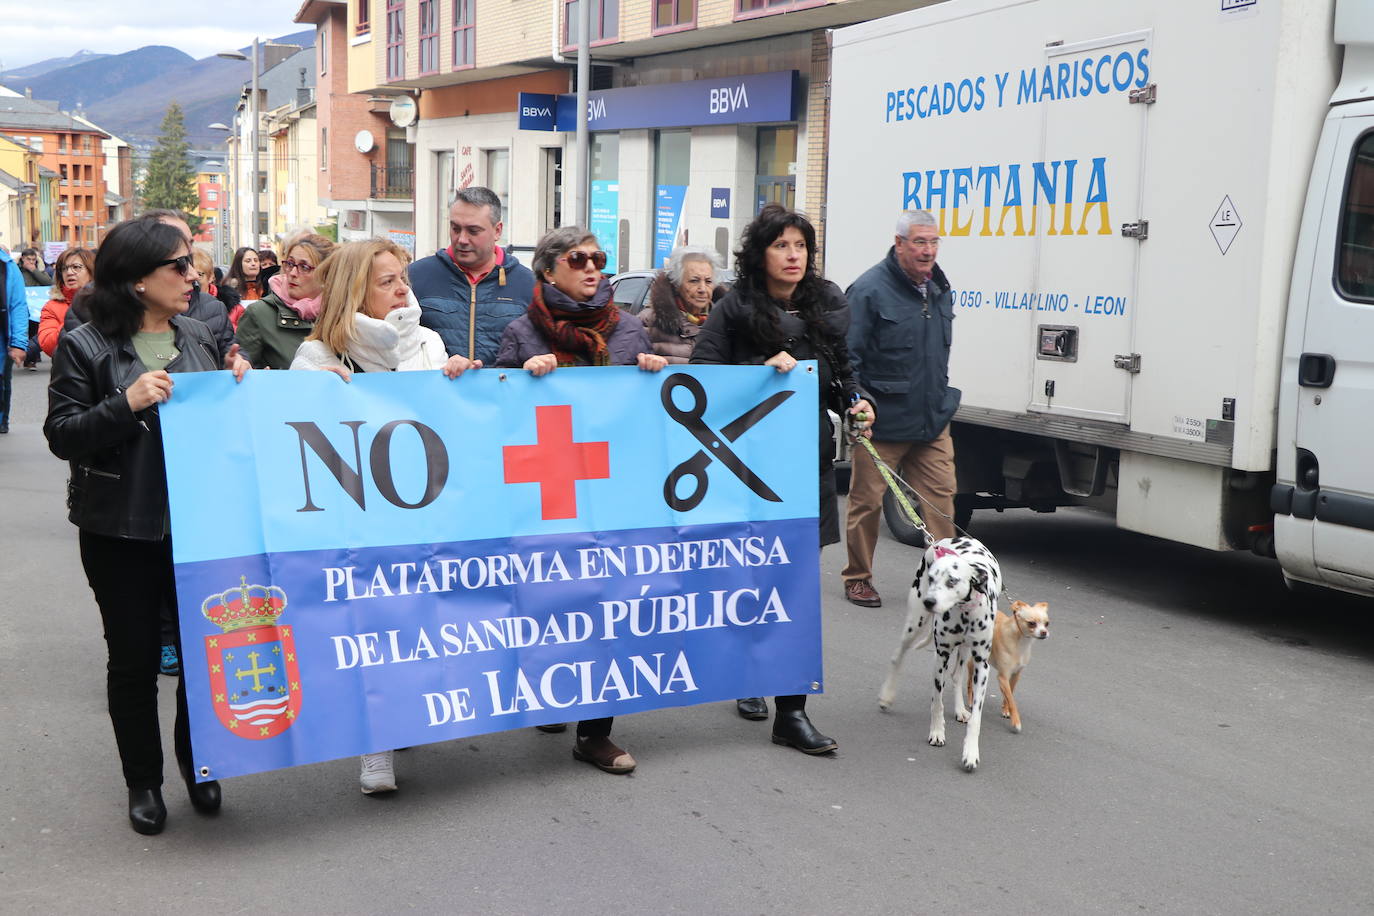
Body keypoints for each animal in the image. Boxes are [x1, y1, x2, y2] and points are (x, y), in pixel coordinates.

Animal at [873, 538, 1005, 774]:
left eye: (952, 581)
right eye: (933, 578)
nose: (930, 601)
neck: (964, 611)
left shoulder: (982, 666)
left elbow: (976, 718)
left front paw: (971, 753)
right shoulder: (940, 657)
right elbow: (937, 702)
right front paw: (937, 732)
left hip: (964, 650)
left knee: (957, 675)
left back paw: (961, 709)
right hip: (914, 623)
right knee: (898, 655)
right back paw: (887, 695)